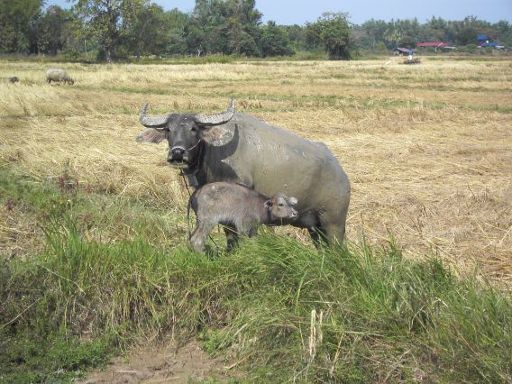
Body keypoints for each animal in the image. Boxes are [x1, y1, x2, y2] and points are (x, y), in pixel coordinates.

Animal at [138, 100, 350, 246]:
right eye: (168, 129)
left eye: (194, 128)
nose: (177, 153)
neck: (215, 149)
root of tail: (341, 174)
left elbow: (233, 235)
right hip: (315, 229)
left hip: (334, 224)